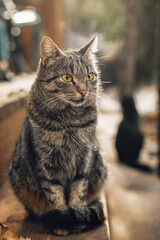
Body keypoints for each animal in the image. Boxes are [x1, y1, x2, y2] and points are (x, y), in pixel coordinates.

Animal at [8, 36, 106, 235]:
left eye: (89, 76)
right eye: (67, 77)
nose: (83, 91)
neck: (69, 122)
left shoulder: (84, 159)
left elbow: (78, 190)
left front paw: (77, 214)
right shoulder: (46, 164)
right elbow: (55, 194)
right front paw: (63, 222)